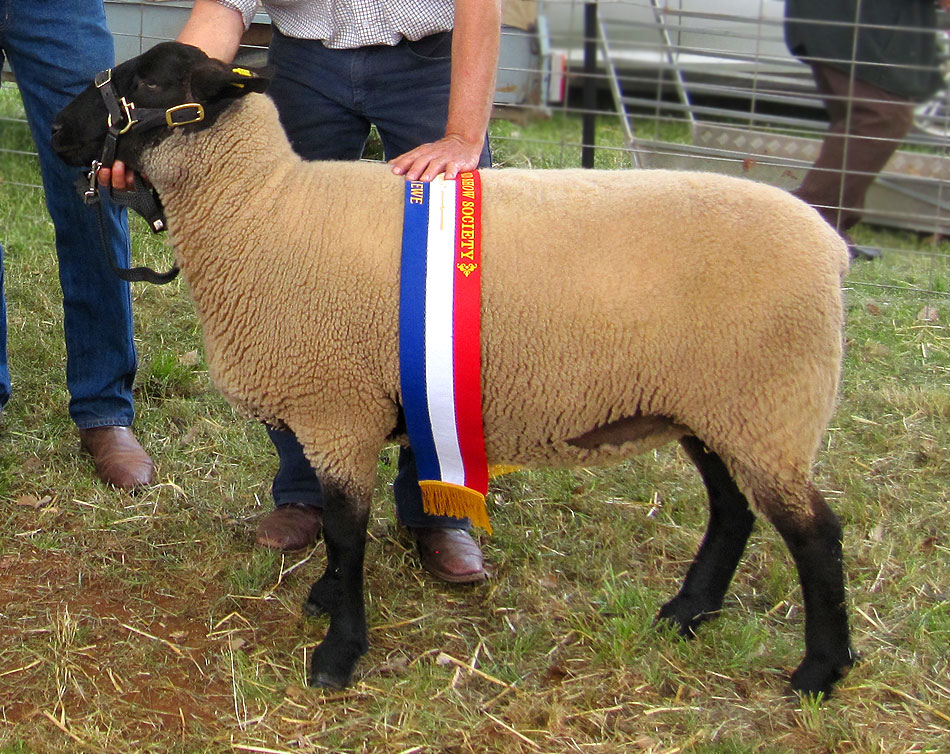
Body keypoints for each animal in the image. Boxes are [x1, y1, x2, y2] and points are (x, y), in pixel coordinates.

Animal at [50, 44, 856, 696]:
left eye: (148, 81)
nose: (58, 128)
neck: (264, 210)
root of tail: (831, 246)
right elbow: (340, 535)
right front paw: (327, 601)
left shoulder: (340, 410)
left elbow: (346, 533)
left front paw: (339, 652)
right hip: (715, 405)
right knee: (732, 511)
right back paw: (688, 613)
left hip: (770, 402)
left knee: (815, 534)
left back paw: (818, 671)